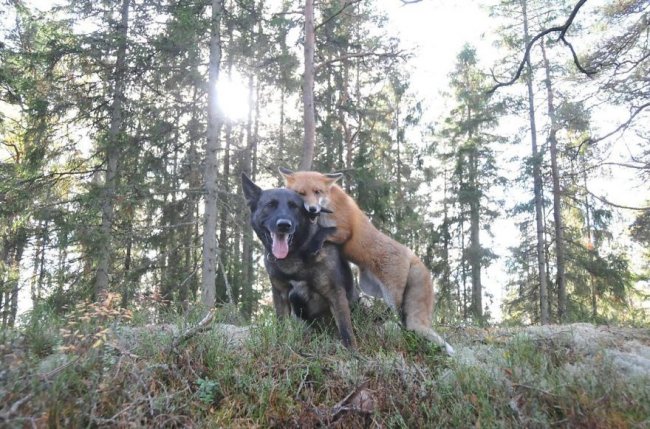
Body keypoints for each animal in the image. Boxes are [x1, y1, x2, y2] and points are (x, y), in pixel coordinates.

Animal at [240, 172, 356, 346]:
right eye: (270, 205)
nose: (284, 225)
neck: (295, 253)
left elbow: (346, 330)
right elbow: (281, 326)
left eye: (294, 206)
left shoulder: (335, 293)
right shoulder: (280, 295)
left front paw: (352, 351)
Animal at [280, 167, 456, 354]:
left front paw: (313, 244)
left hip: (392, 294)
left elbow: (324, 232)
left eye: (317, 191)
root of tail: (413, 255)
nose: (313, 209)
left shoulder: (344, 231)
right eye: (301, 193)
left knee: (400, 316)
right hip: (369, 287)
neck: (328, 206)